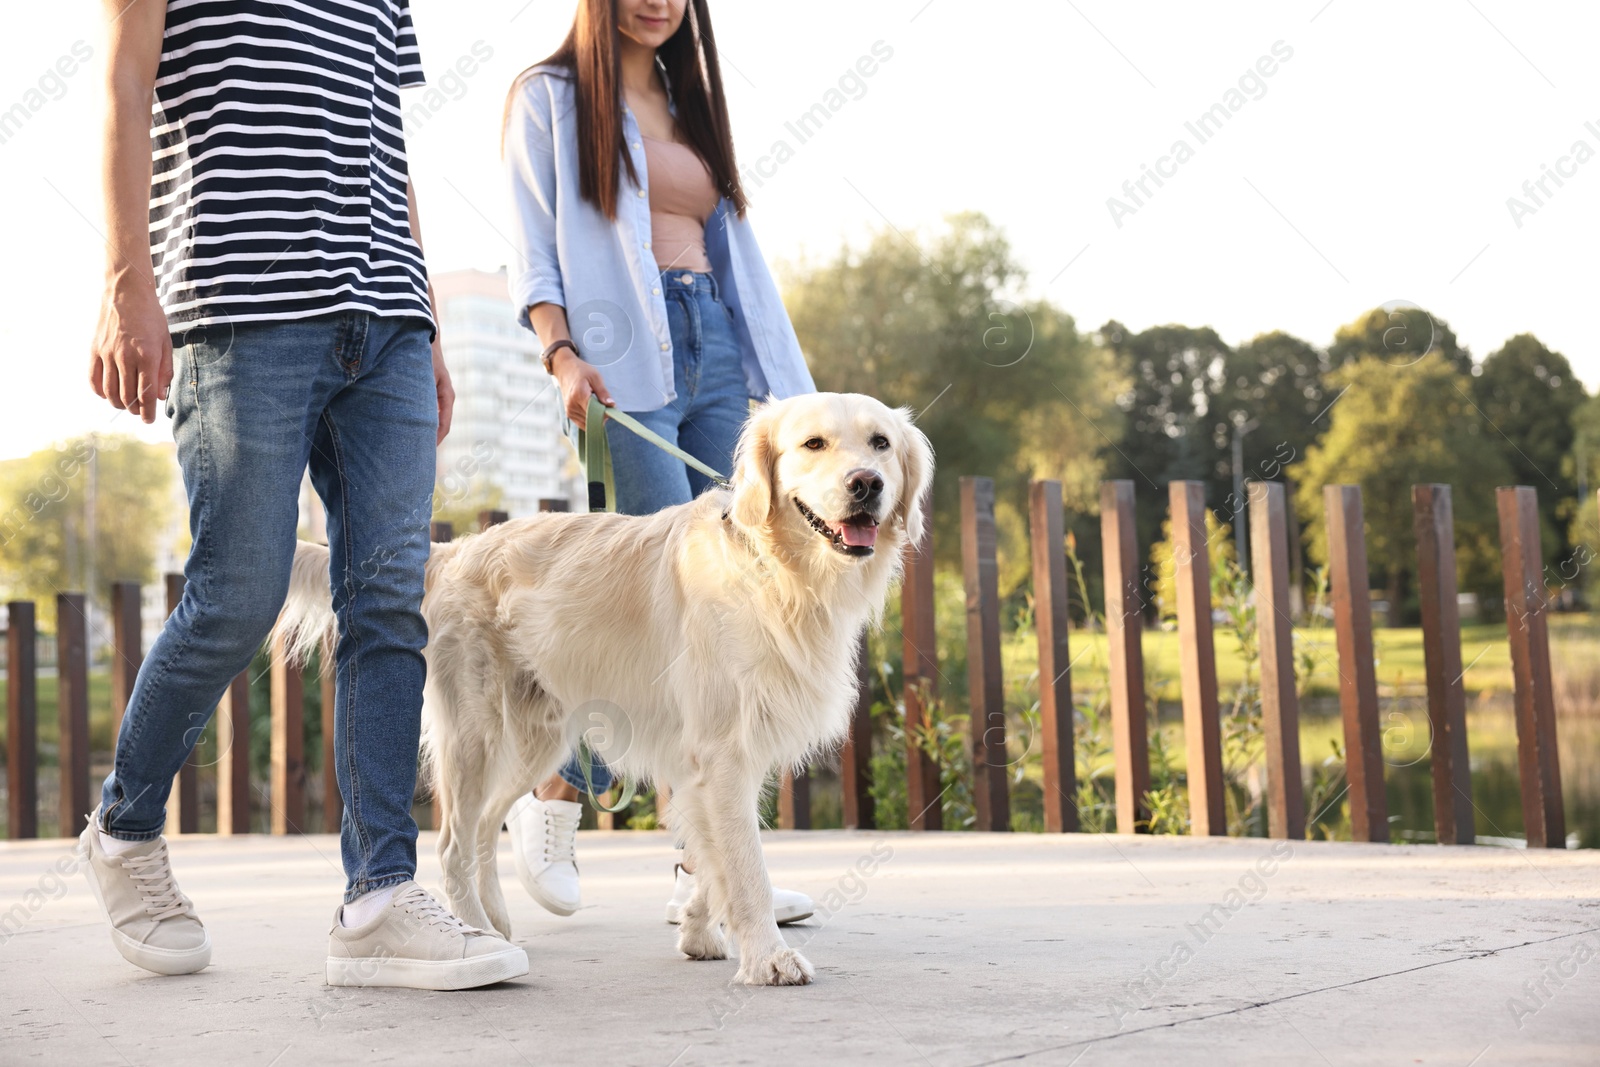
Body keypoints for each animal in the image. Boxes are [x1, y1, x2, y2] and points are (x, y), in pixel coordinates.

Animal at [270, 391, 934, 985]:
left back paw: (495, 922)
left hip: (538, 737)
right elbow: (747, 869)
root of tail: (452, 551)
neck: (776, 570)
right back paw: (473, 933)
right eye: (814, 444)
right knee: (454, 841)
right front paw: (768, 957)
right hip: (474, 734)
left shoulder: (716, 762)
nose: (866, 484)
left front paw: (699, 932)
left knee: (485, 829)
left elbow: (709, 857)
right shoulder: (723, 754)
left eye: (880, 443)